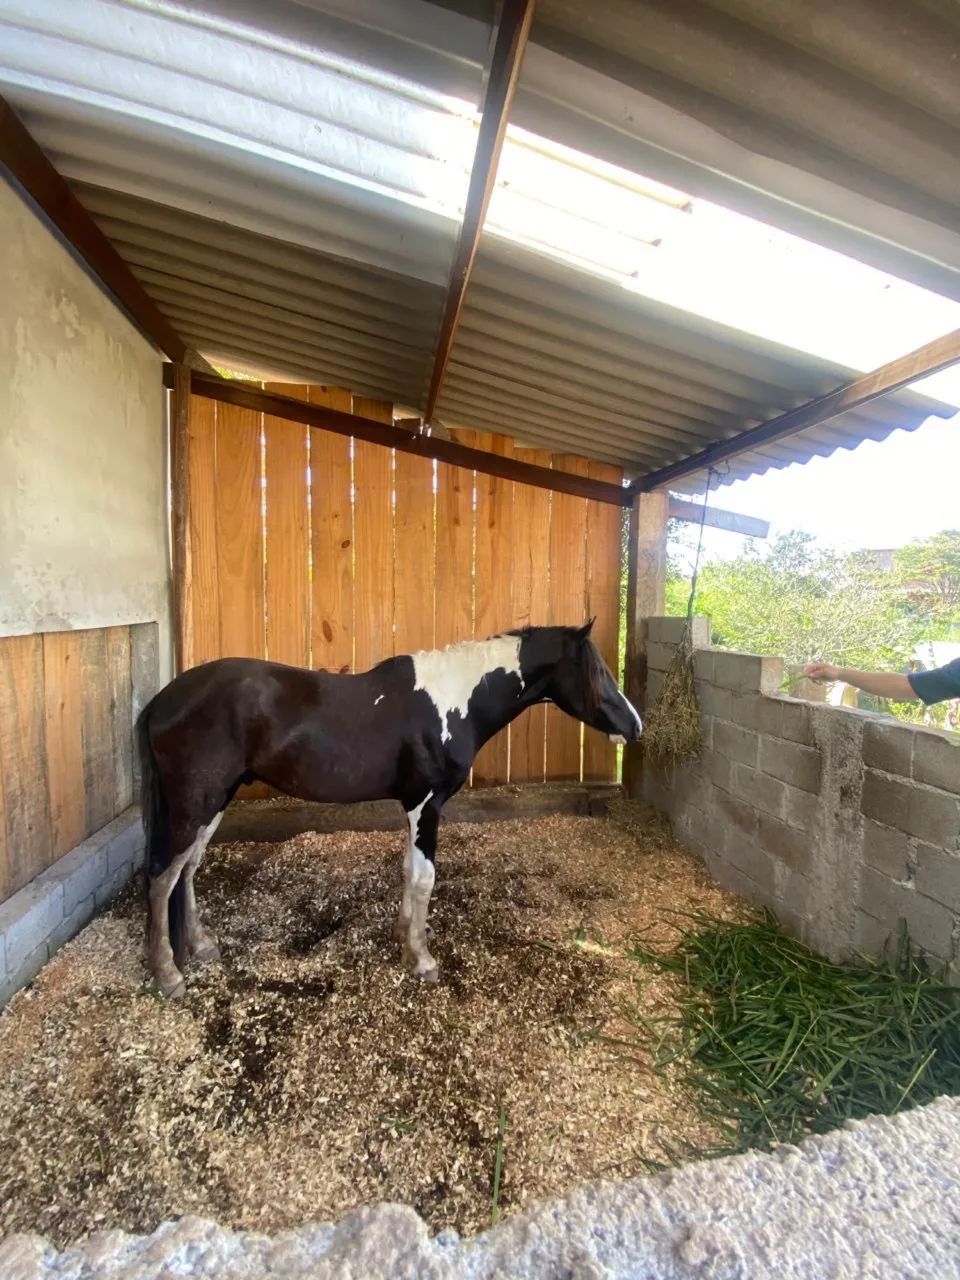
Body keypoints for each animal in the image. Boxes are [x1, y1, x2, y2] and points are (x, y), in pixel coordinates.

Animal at [137, 621, 642, 997]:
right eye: (597, 672)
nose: (635, 726)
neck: (454, 701)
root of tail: (160, 702)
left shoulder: (415, 808)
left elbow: (407, 872)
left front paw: (405, 937)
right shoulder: (426, 804)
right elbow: (424, 878)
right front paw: (421, 960)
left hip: (213, 802)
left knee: (188, 867)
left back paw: (199, 944)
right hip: (195, 802)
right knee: (162, 875)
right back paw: (168, 974)